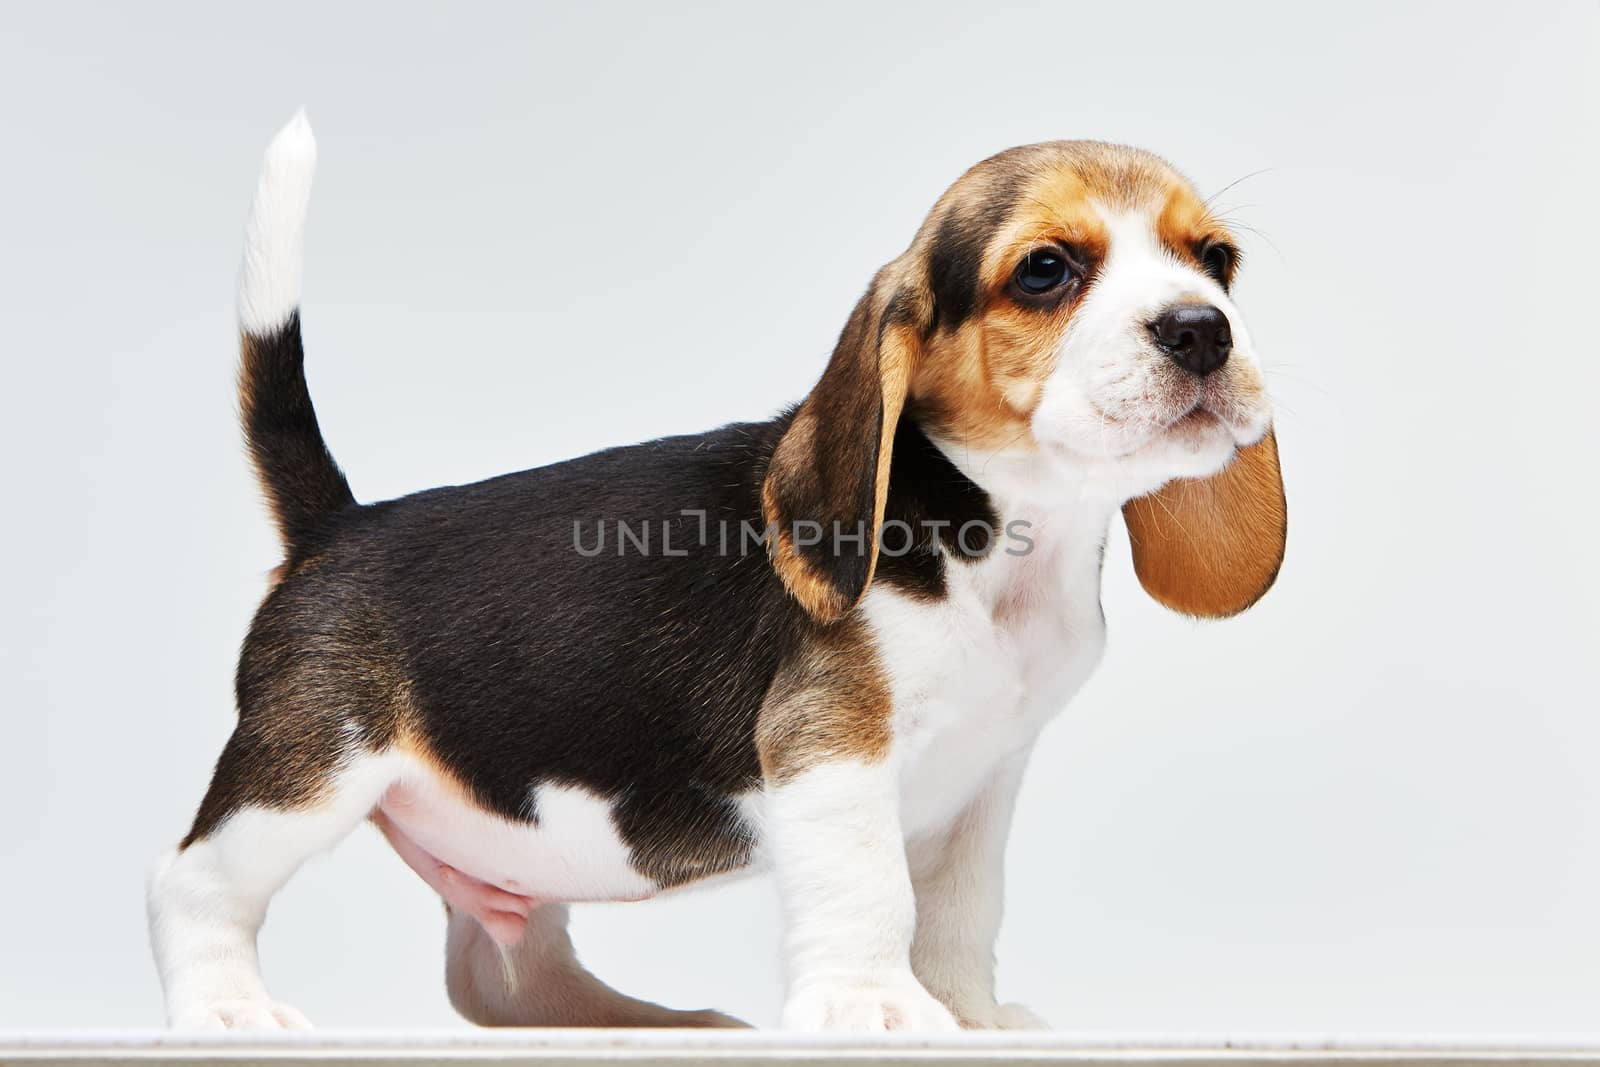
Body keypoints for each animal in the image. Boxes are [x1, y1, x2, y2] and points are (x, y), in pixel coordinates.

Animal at [147, 115, 1286, 1036]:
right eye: (1046, 270)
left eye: (1216, 260)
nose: (1202, 328)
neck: (1005, 535)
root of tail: (337, 524)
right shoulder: (829, 744)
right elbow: (874, 888)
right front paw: (874, 1005)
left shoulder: (988, 777)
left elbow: (961, 907)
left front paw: (970, 1014)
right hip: (311, 769)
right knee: (187, 883)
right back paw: (226, 1005)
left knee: (500, 975)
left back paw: (646, 1022)